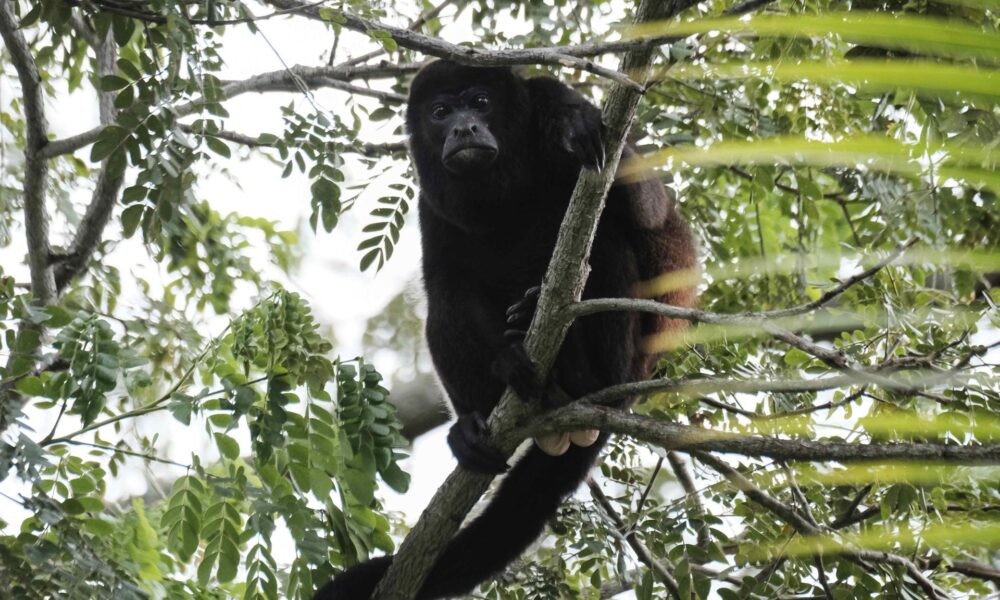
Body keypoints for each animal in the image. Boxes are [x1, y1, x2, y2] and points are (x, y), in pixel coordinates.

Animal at [316, 62, 700, 600]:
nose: (463, 128)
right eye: (440, 111)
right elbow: (448, 285)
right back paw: (481, 416)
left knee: (609, 242)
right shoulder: (432, 200)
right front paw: (503, 363)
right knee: (444, 308)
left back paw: (579, 373)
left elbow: (646, 210)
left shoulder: (554, 103)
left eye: (480, 102)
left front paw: (574, 121)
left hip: (630, 359)